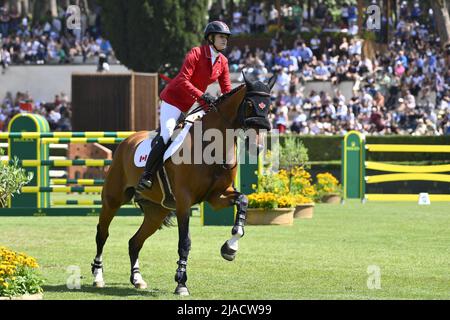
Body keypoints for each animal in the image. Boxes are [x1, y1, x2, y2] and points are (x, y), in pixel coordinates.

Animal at [90, 72, 274, 296]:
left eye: (269, 106)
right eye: (249, 104)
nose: (257, 147)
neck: (212, 146)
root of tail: (127, 141)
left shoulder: (217, 196)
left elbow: (243, 201)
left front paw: (230, 248)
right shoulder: (184, 202)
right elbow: (184, 242)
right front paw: (181, 284)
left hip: (156, 212)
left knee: (135, 242)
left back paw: (137, 279)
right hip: (113, 199)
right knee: (102, 234)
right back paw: (98, 277)